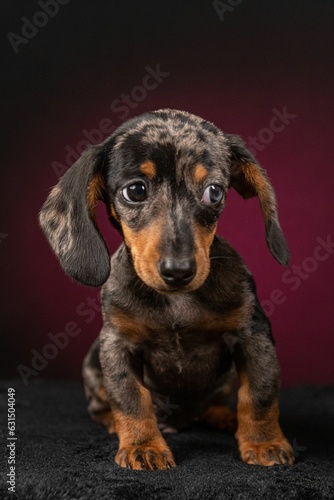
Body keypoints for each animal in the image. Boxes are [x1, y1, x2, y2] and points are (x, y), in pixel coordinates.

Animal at [39, 108, 294, 468]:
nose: (178, 271)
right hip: (92, 363)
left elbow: (259, 394)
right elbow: (130, 398)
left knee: (210, 406)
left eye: (214, 192)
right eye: (135, 191)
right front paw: (143, 445)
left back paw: (224, 417)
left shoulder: (254, 335)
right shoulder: (117, 344)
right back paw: (114, 424)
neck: (176, 302)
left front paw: (263, 443)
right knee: (101, 406)